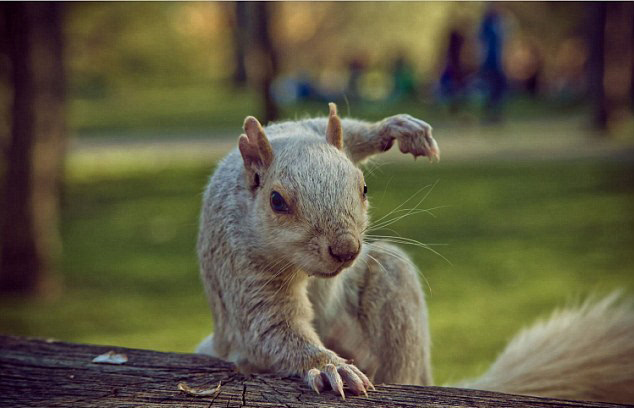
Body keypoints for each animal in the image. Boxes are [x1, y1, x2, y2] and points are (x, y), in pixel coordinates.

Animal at [195, 103, 628, 404]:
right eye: (277, 201)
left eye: (364, 187)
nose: (346, 250)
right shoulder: (243, 265)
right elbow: (270, 327)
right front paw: (328, 366)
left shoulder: (309, 129)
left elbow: (347, 131)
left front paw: (399, 129)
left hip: (390, 278)